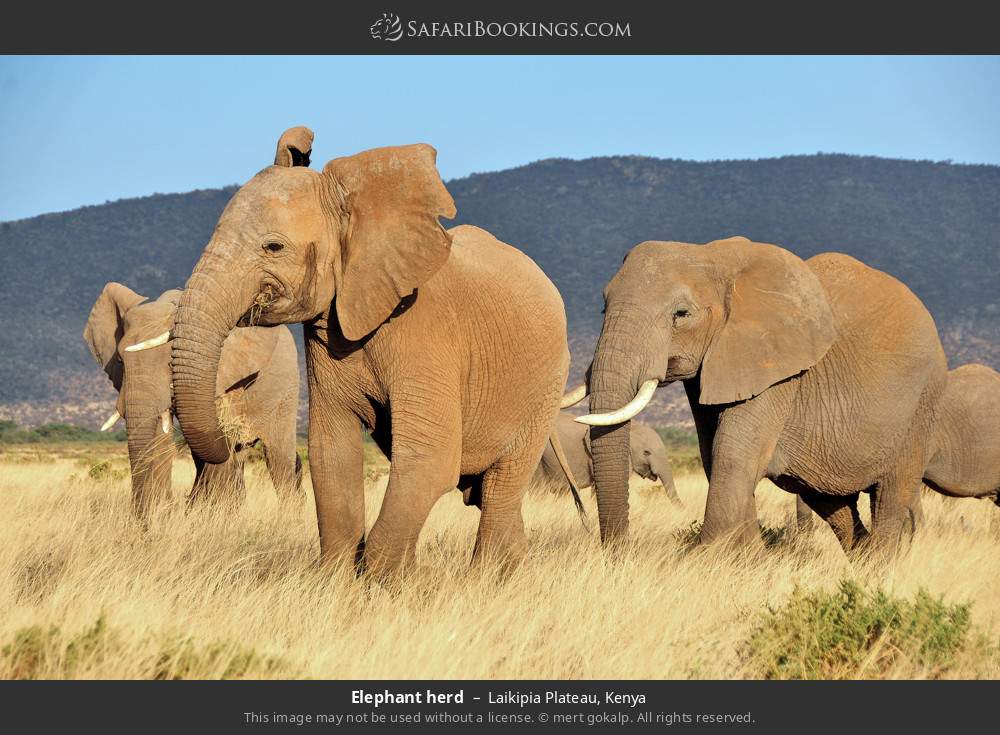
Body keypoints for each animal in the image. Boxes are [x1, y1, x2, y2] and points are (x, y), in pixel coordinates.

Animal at [83, 282, 300, 516]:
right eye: (120, 361)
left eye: (171, 362)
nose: (140, 519)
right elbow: (160, 436)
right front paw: (164, 513)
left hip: (286, 387)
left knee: (278, 457)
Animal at [168, 126, 576, 580]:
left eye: (273, 247)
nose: (232, 440)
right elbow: (332, 455)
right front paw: (339, 583)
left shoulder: (427, 330)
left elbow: (430, 459)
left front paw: (396, 585)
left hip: (544, 389)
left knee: (502, 488)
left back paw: (488, 580)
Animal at [572, 239, 944, 556]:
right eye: (603, 307)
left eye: (681, 314)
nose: (621, 553)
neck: (712, 255)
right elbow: (714, 457)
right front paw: (750, 559)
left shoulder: (777, 372)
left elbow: (733, 458)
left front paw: (706, 561)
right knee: (832, 504)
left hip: (920, 407)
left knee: (889, 499)